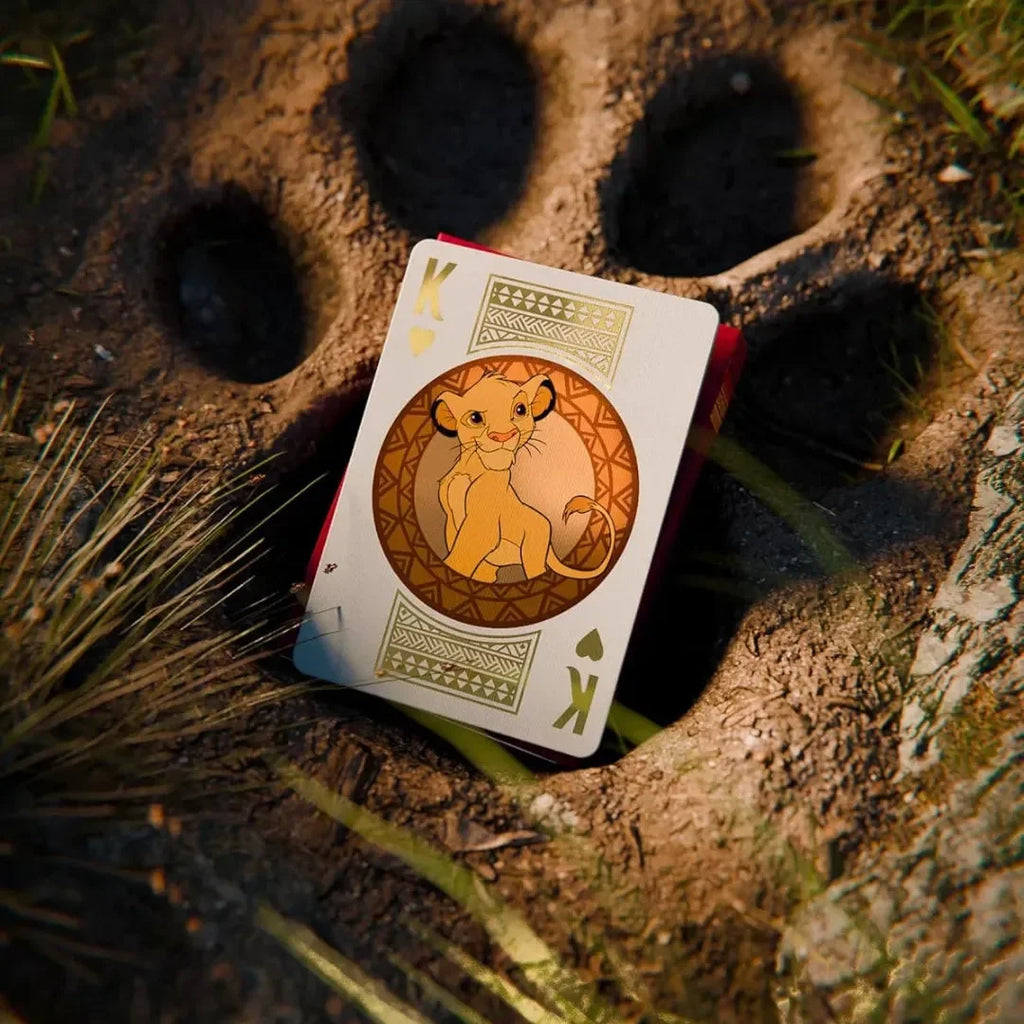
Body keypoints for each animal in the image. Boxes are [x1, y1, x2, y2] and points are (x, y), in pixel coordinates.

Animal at [429, 371, 616, 584]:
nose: (503, 435)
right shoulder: (452, 523)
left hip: (532, 551)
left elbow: (461, 557)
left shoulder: (484, 524)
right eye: (475, 418)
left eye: (520, 409)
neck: (472, 469)